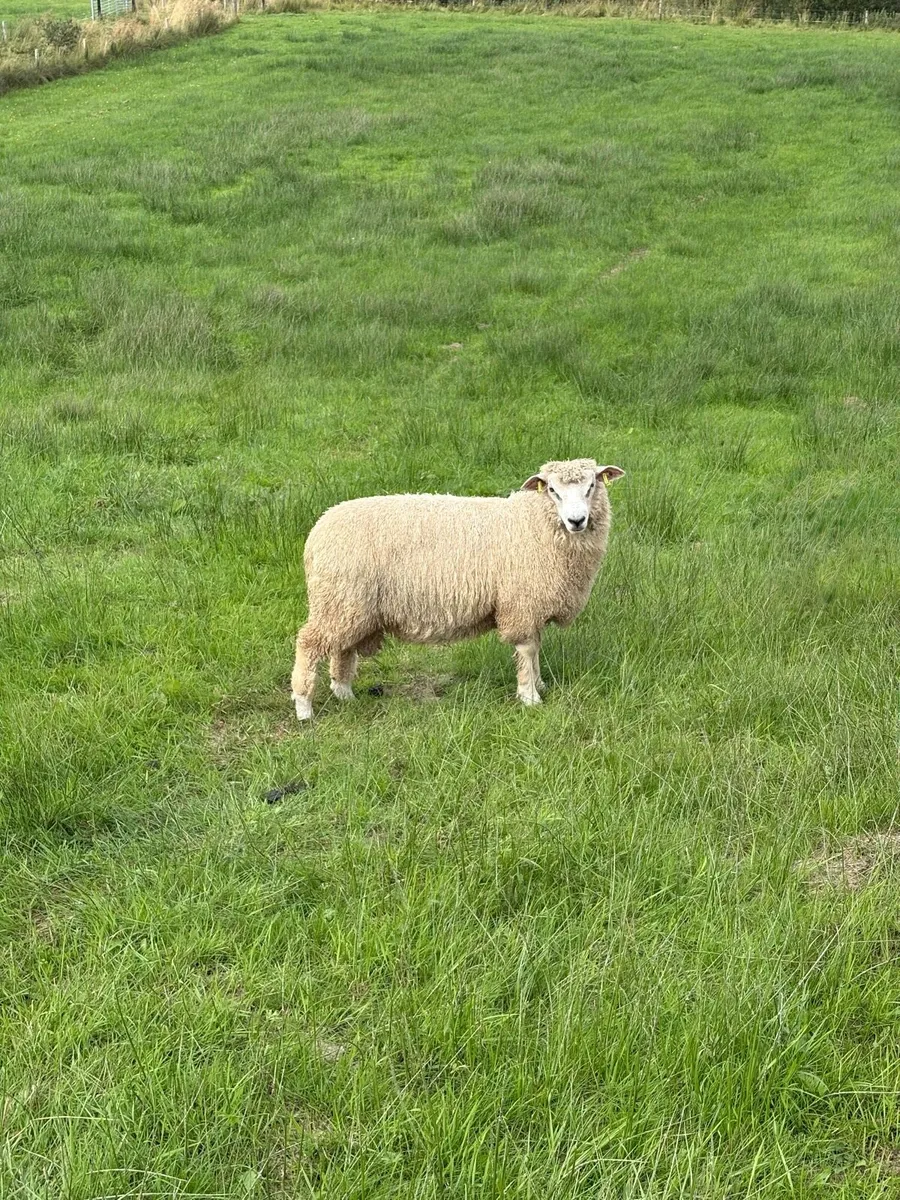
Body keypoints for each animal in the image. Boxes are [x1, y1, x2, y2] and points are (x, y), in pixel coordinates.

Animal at [291, 458, 625, 720]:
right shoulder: (521, 601)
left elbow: (536, 647)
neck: (534, 524)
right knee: (309, 644)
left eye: (591, 487)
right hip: (340, 598)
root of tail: (318, 531)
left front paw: (538, 683)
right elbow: (528, 649)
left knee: (342, 647)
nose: (576, 521)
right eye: (553, 491)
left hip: (348, 604)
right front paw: (530, 697)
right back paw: (304, 707)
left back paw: (344, 693)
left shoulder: (531, 603)